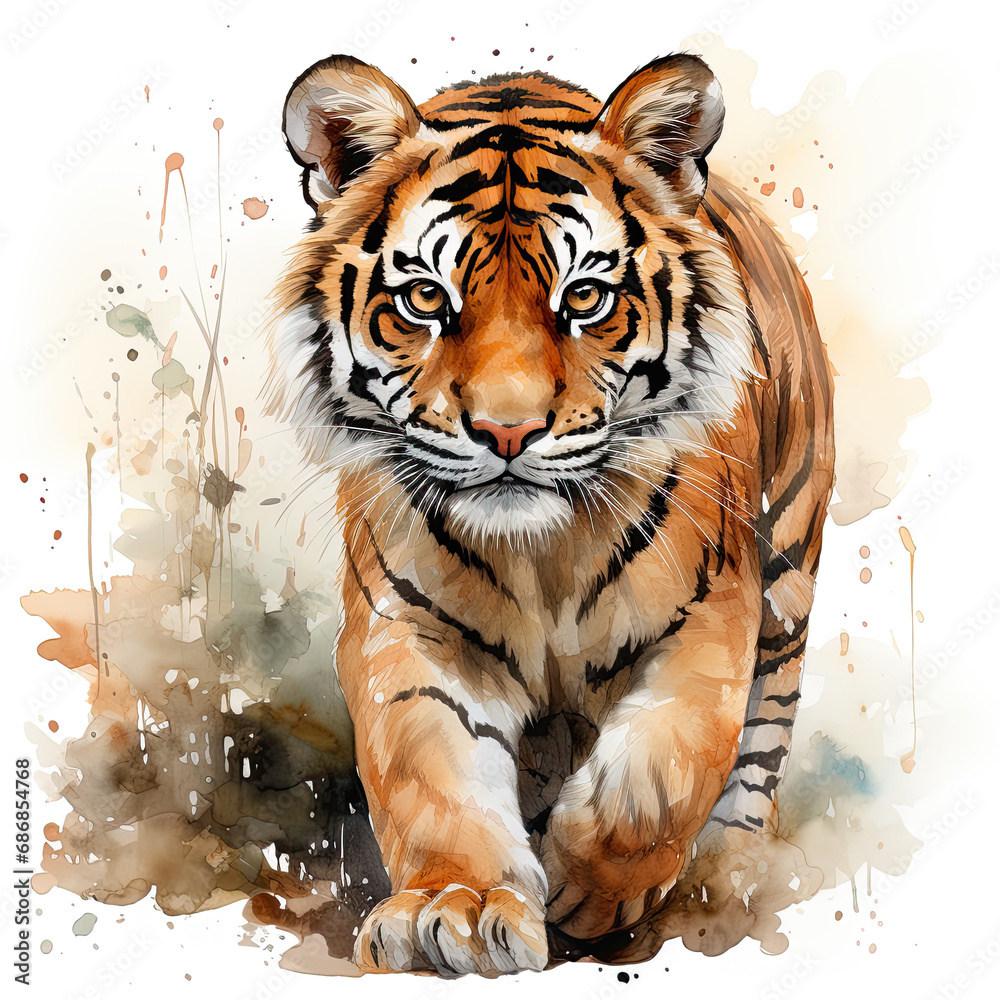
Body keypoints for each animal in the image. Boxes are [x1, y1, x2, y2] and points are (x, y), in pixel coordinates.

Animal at [265, 52, 835, 977]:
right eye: (427, 299)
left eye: (587, 298)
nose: (507, 429)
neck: (543, 553)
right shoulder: (410, 633)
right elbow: (430, 777)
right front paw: (454, 912)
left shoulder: (710, 619)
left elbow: (660, 774)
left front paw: (589, 887)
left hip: (788, 569)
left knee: (762, 742)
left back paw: (731, 880)